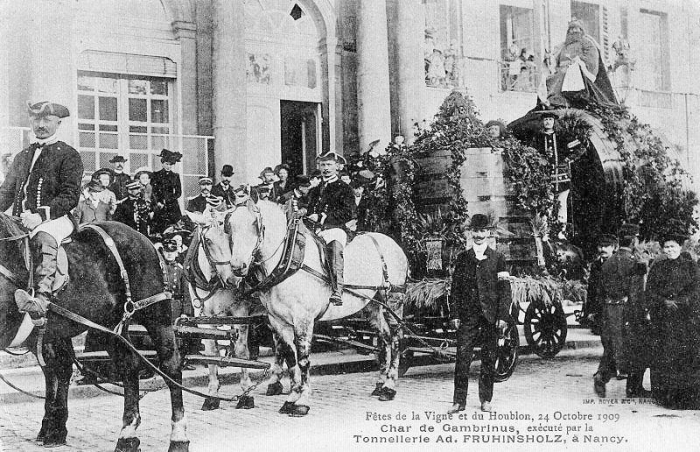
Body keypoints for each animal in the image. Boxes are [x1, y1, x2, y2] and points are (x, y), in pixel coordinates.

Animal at [0, 214, 189, 450]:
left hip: (156, 315)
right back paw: (127, 436)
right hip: (109, 328)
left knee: (171, 365)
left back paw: (178, 438)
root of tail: (145, 240)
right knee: (128, 366)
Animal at [183, 212, 258, 410]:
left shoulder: (240, 312)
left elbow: (241, 351)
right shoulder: (203, 316)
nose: (233, 279)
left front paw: (246, 394)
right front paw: (212, 395)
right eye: (208, 240)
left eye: (230, 238)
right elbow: (211, 352)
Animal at [227, 200, 408, 416]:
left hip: (394, 301)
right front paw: (292, 398)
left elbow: (303, 360)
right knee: (384, 339)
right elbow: (291, 358)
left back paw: (390, 387)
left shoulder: (303, 319)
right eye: (229, 226)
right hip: (373, 305)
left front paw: (303, 401)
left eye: (256, 225)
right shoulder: (278, 322)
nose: (237, 266)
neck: (289, 259)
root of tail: (394, 244)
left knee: (395, 340)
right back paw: (380, 383)